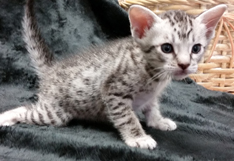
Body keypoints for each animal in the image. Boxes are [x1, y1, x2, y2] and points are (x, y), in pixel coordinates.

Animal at [0, 0, 226, 150]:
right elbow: (127, 117)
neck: (153, 74)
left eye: (196, 48)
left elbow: (152, 106)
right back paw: (6, 117)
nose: (184, 65)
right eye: (167, 48)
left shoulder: (151, 95)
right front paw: (138, 137)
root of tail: (52, 69)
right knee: (28, 110)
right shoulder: (113, 90)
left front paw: (158, 121)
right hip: (56, 113)